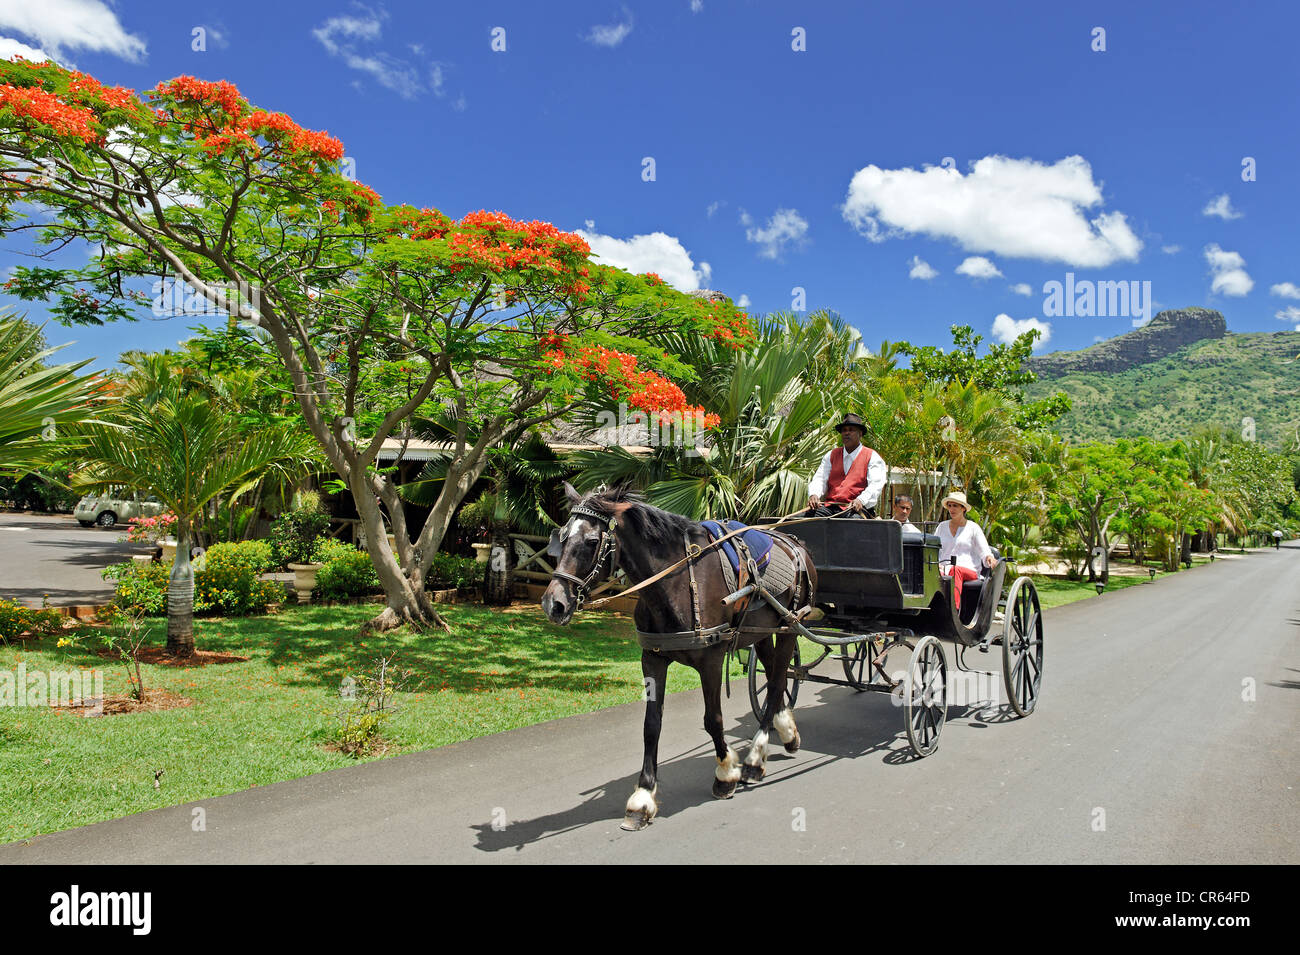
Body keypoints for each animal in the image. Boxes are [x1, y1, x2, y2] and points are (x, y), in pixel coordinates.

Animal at [543, 485, 816, 831]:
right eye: (562, 538)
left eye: (592, 542)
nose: (554, 604)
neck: (676, 583)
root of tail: (795, 543)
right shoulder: (653, 659)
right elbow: (651, 725)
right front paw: (642, 797)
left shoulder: (711, 660)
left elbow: (713, 720)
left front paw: (726, 773)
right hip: (762, 631)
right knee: (772, 678)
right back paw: (785, 732)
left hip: (791, 626)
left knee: (780, 677)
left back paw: (756, 757)